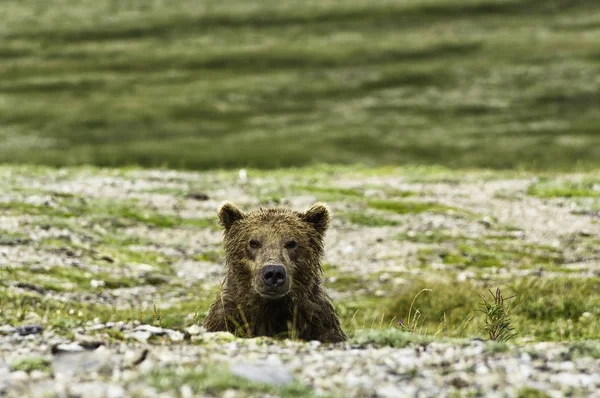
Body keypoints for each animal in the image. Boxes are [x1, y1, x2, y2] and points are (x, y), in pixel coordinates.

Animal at [204, 202, 346, 342]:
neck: (270, 310)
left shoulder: (318, 323)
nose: (273, 273)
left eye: (292, 243)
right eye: (253, 242)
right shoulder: (226, 319)